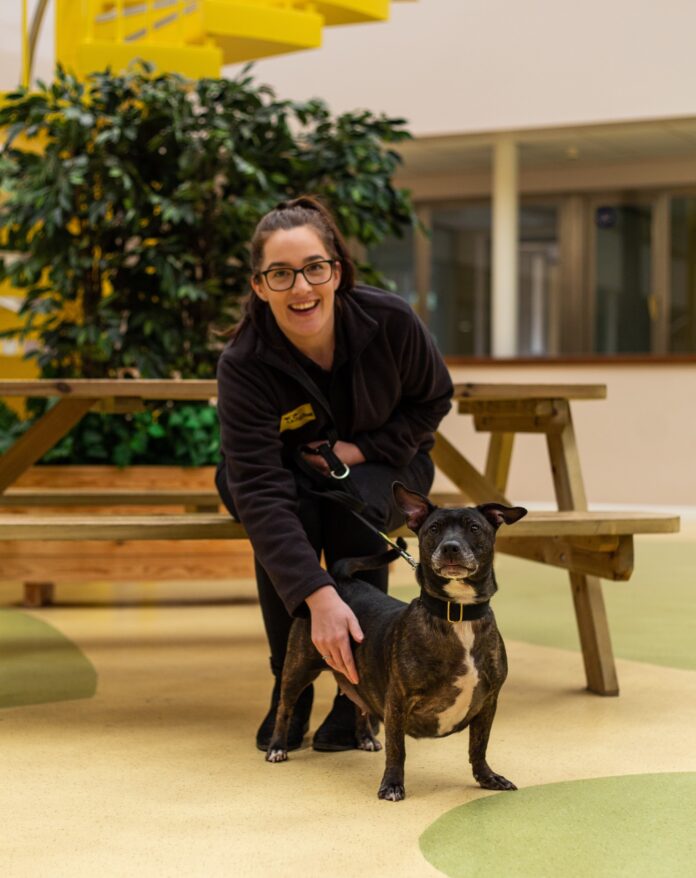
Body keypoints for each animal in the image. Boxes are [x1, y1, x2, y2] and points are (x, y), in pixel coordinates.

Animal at [264, 484, 524, 800]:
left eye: (474, 528)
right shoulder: (397, 701)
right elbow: (397, 749)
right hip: (297, 670)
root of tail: (341, 581)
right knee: (285, 708)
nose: (450, 546)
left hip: (353, 672)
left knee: (358, 701)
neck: (457, 614)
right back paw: (277, 746)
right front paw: (392, 784)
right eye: (434, 528)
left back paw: (364, 737)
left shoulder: (488, 702)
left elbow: (479, 745)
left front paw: (487, 777)